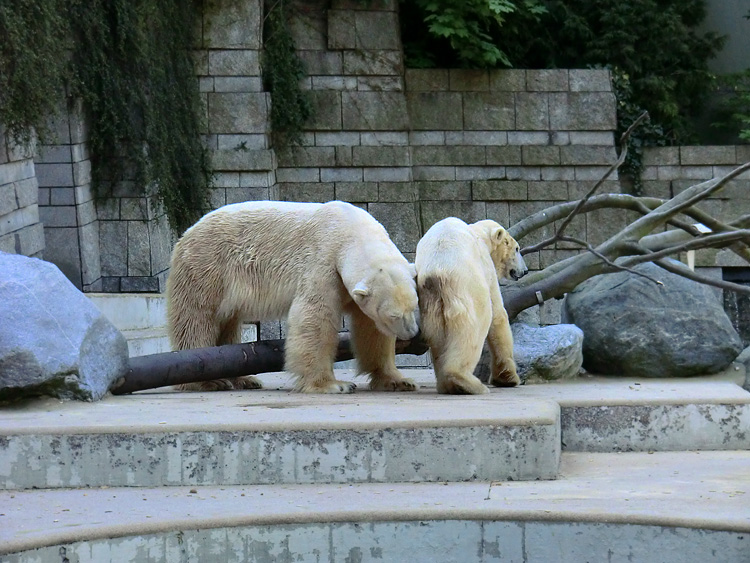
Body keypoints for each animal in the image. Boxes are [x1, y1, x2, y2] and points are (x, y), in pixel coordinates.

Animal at [167, 202, 420, 392]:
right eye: (393, 315)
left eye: (414, 306)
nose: (412, 333)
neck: (352, 229)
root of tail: (188, 231)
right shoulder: (323, 260)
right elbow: (315, 317)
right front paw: (332, 384)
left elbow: (371, 330)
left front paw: (398, 381)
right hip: (207, 266)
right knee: (197, 318)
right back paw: (208, 380)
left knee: (227, 322)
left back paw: (245, 379)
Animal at [418, 218, 528, 394]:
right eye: (516, 249)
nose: (524, 271)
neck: (479, 233)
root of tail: (437, 272)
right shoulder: (486, 265)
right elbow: (498, 315)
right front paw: (508, 378)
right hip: (466, 290)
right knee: (473, 330)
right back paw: (464, 381)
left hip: (430, 302)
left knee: (438, 338)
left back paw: (446, 385)